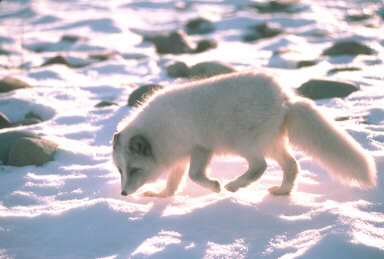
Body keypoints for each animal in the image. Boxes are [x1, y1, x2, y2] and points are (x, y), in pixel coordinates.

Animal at [112, 71, 376, 197]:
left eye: (134, 169)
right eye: (121, 170)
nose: (123, 193)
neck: (159, 132)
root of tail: (286, 100)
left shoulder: (200, 148)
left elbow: (195, 176)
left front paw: (215, 186)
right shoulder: (180, 155)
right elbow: (174, 182)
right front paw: (161, 195)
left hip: (245, 144)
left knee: (260, 166)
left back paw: (233, 186)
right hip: (273, 144)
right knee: (291, 165)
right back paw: (282, 192)